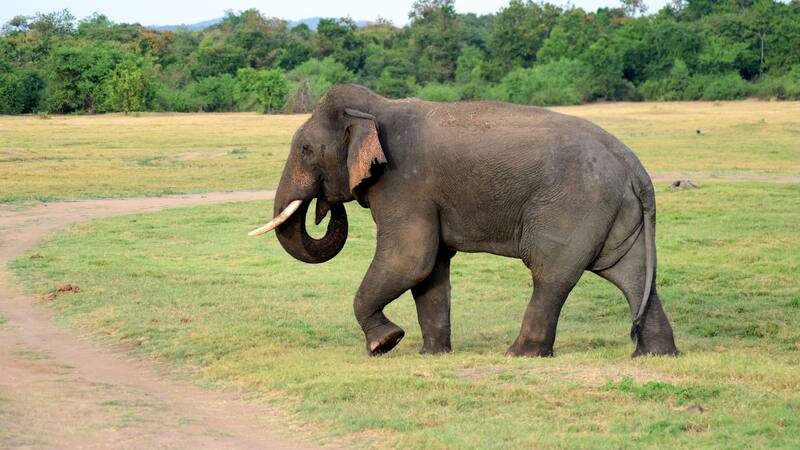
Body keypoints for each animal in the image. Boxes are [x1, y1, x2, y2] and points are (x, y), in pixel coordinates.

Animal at [249, 84, 678, 358]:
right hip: (615, 212)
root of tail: (634, 166)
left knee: (551, 274)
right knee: (633, 274)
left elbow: (410, 259)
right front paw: (433, 353)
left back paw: (519, 354)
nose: (324, 206)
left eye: (306, 150)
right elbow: (430, 269)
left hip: (573, 207)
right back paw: (655, 355)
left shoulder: (405, 184)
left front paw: (385, 343)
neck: (378, 107)